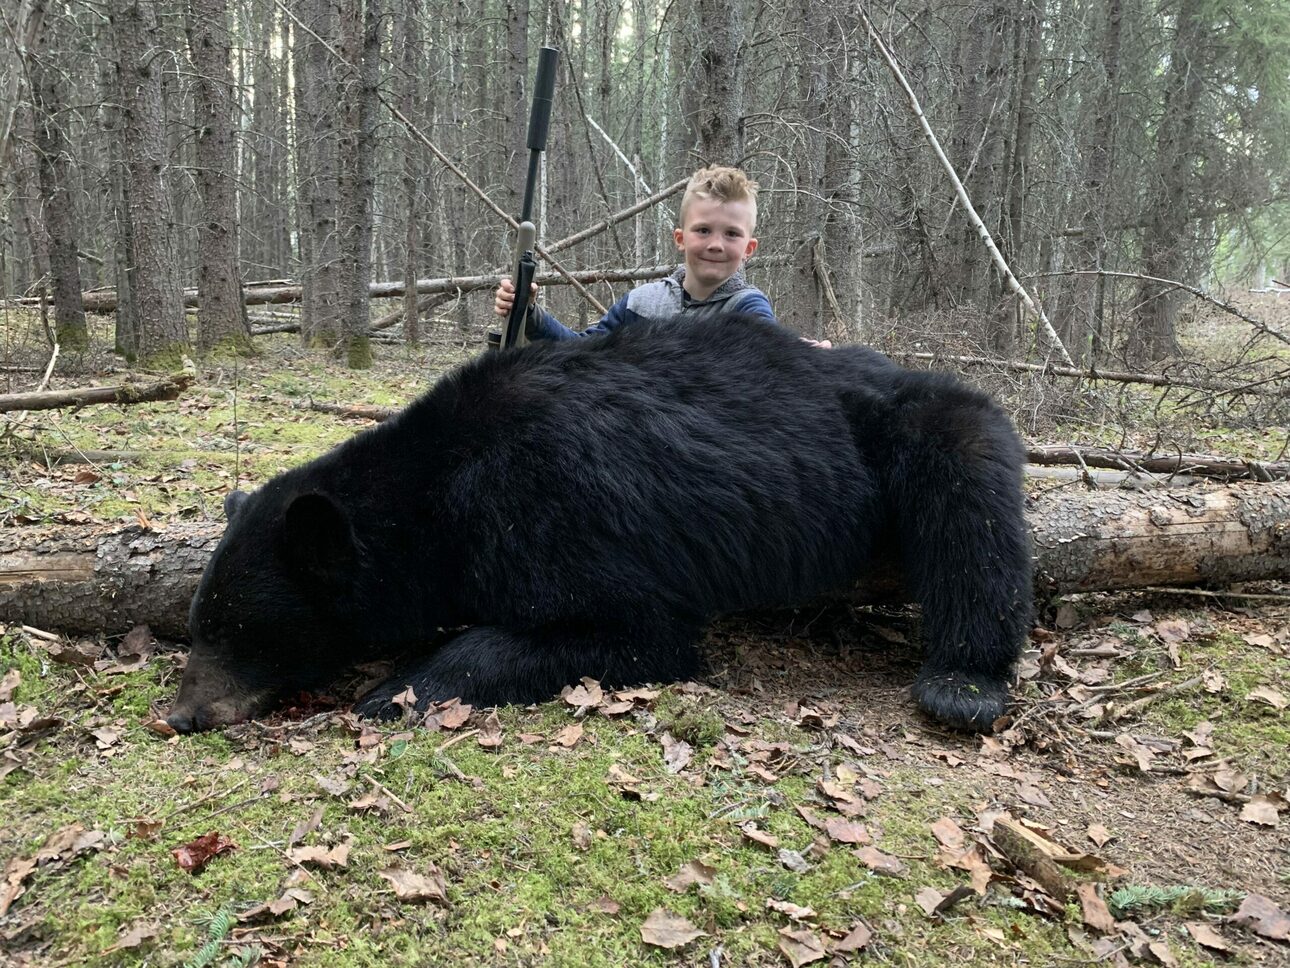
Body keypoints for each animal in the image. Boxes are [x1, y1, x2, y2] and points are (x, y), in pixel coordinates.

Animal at [171, 318, 1032, 733]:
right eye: (201, 622)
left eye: (241, 631)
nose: (182, 714)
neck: (436, 498)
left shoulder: (562, 510)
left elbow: (634, 631)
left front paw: (397, 689)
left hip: (913, 423)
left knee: (969, 500)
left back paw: (962, 684)